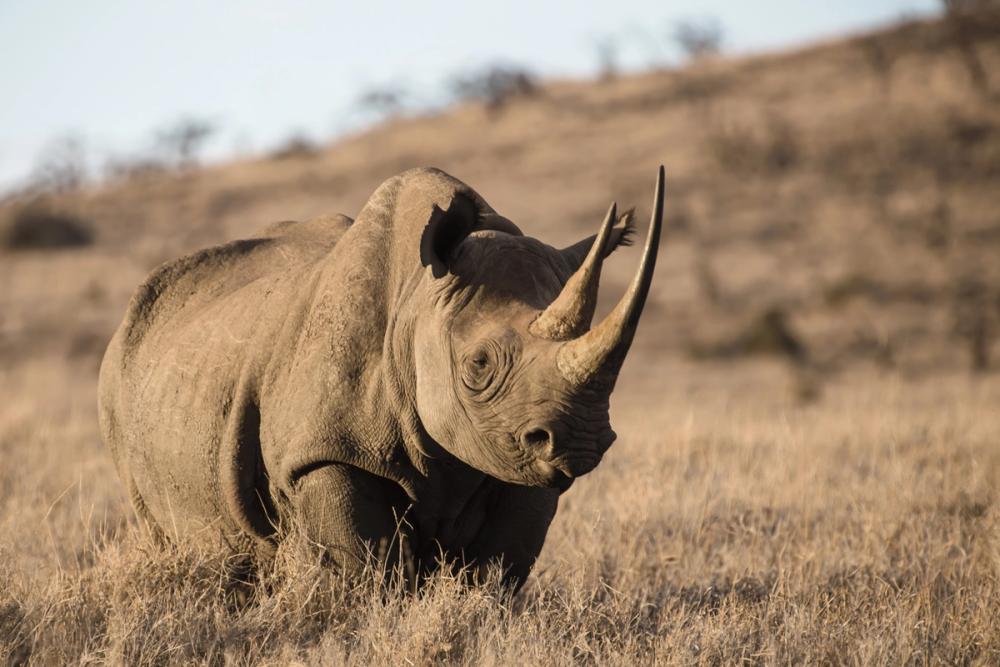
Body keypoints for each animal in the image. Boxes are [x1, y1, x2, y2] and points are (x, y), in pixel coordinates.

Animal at [99, 166, 664, 588]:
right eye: (478, 365)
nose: (581, 441)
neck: (418, 302)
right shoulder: (326, 450)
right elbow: (368, 571)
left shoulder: (515, 455)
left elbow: (498, 568)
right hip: (118, 387)